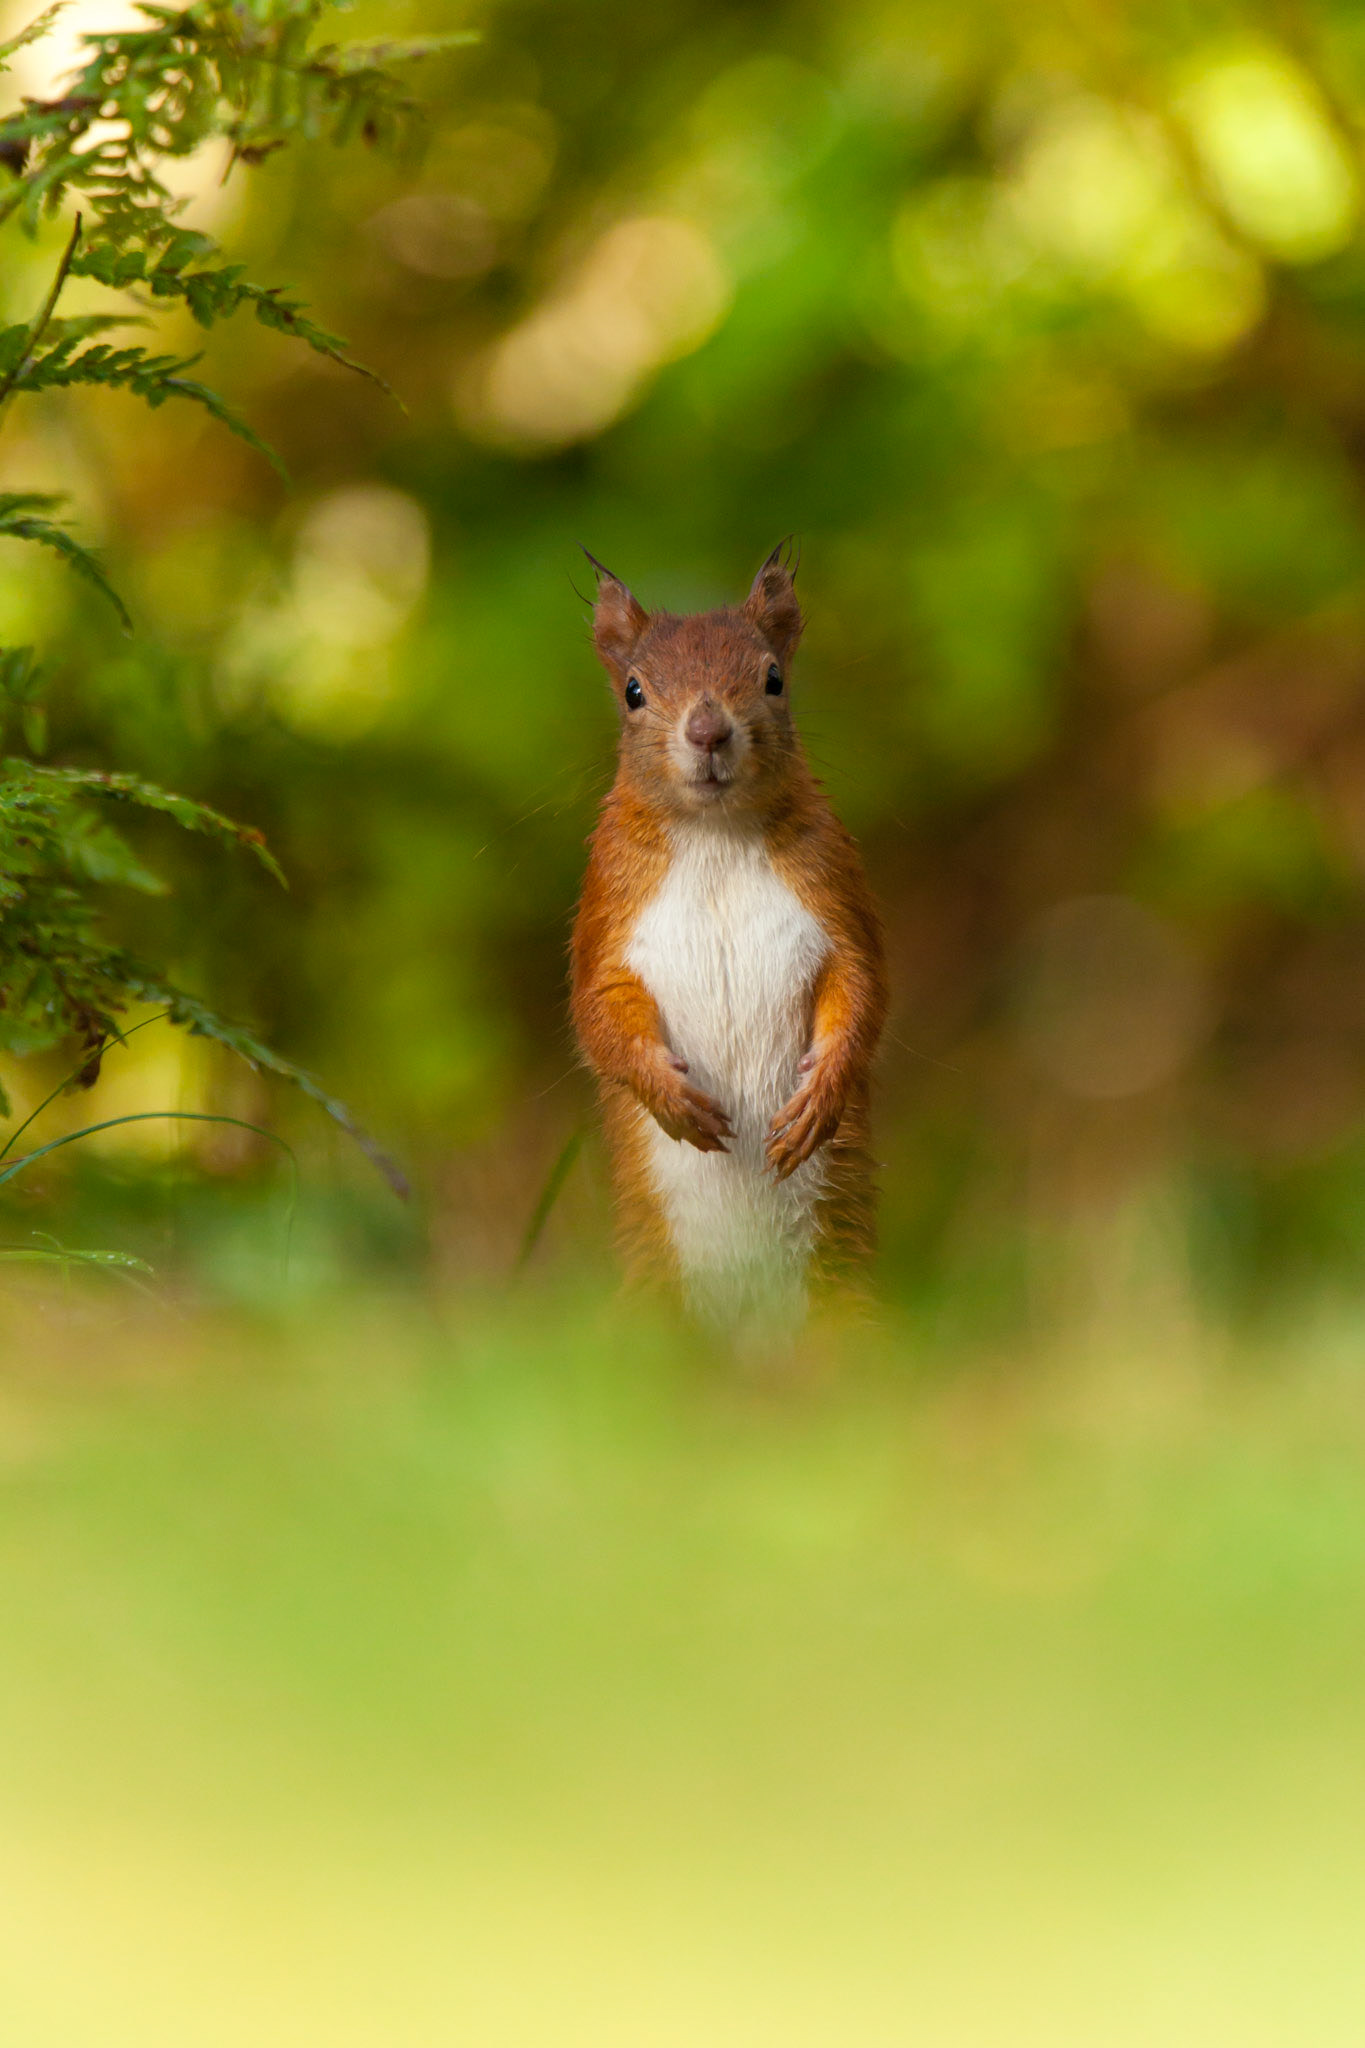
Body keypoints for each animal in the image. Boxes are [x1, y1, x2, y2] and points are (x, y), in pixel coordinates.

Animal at [570, 546, 888, 1328]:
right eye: (633, 691)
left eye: (773, 677)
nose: (708, 732)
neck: (713, 834)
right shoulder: (607, 906)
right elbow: (596, 1011)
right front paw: (668, 1098)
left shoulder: (834, 886)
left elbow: (863, 985)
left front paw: (818, 1102)